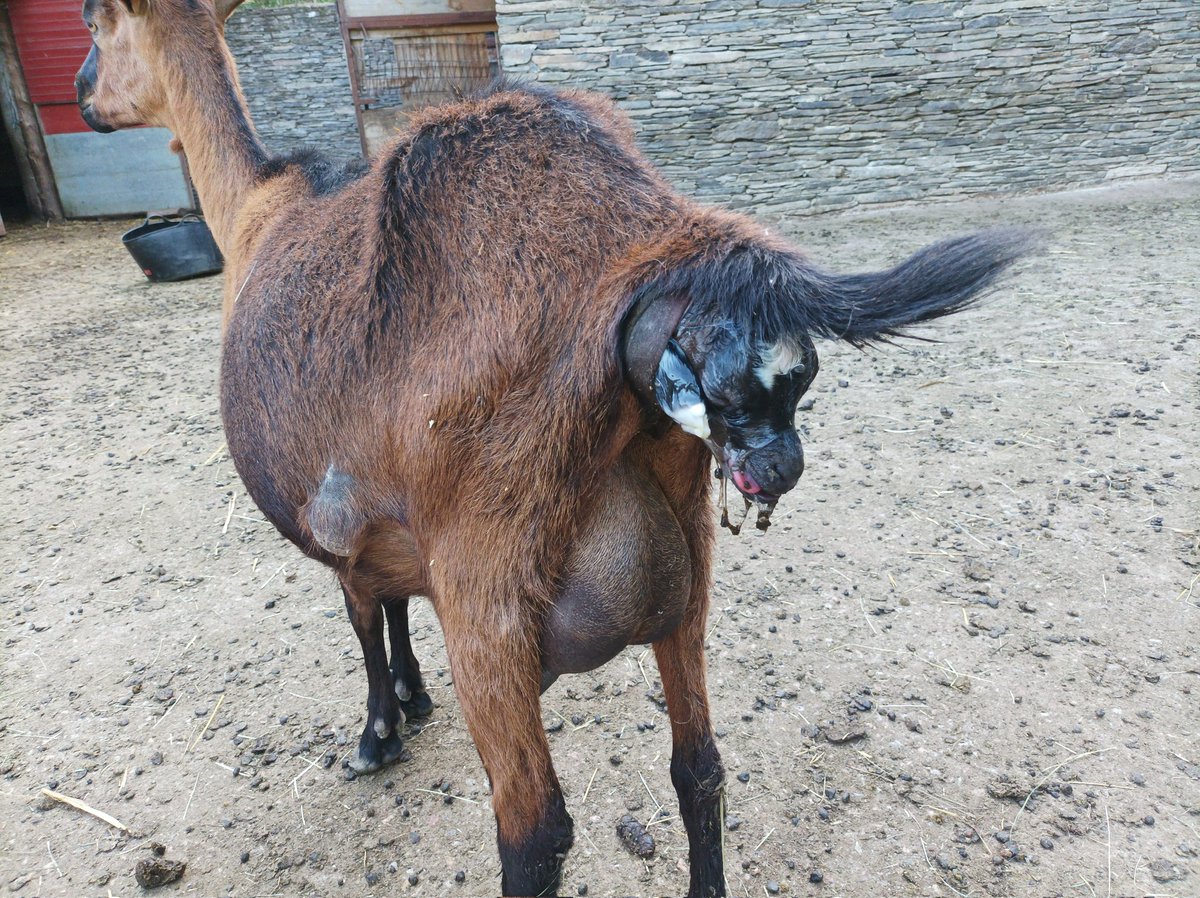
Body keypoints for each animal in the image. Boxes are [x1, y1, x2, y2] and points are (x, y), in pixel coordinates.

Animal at [75, 1, 1034, 894]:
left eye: (93, 21)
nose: (85, 96)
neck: (254, 209)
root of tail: (654, 235)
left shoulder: (340, 527)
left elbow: (363, 619)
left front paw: (379, 729)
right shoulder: (384, 527)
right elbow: (391, 601)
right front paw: (413, 698)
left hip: (488, 583)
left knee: (535, 834)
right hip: (685, 558)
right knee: (699, 768)